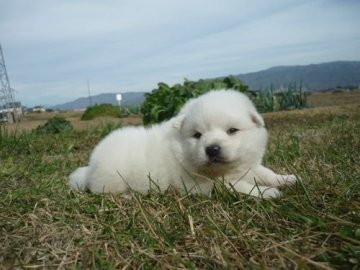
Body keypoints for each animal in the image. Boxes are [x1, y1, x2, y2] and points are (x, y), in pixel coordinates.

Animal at [68, 89, 298, 197]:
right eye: (197, 135)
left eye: (232, 130)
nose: (212, 149)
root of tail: (90, 168)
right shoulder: (202, 183)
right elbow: (237, 185)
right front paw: (266, 192)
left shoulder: (248, 166)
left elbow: (265, 172)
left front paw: (286, 179)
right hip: (113, 180)